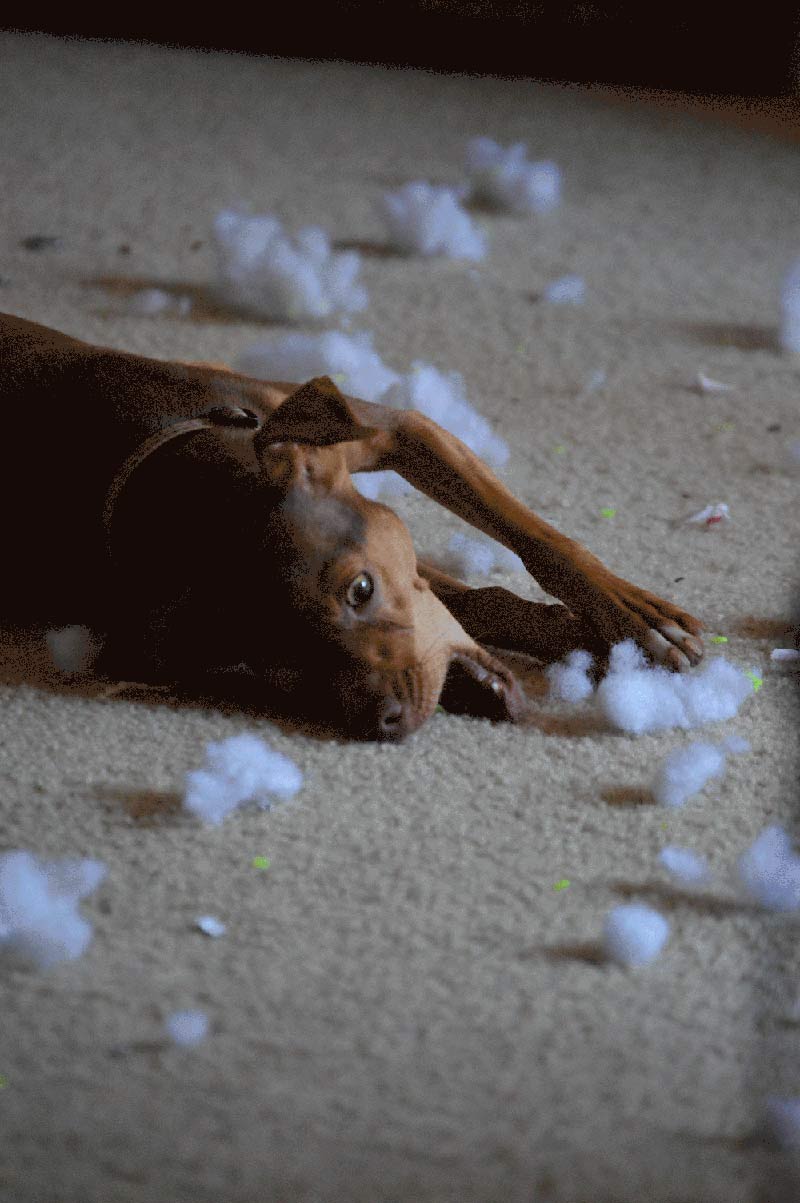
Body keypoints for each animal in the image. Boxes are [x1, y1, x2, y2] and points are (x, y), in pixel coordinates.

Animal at [0, 311, 703, 740]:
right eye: (267, 665)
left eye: (360, 590)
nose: (383, 721)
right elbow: (471, 600)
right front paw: (572, 636)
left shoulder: (399, 430)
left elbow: (538, 541)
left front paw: (628, 619)